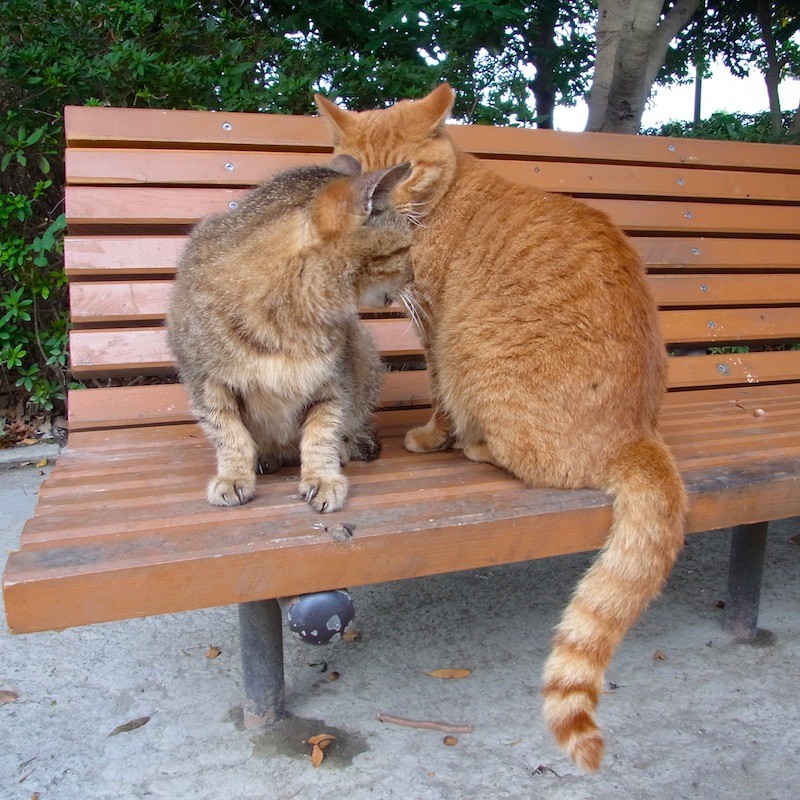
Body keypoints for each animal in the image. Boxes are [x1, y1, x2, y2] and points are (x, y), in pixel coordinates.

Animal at [318, 86, 688, 768]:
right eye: (356, 170)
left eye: (404, 171)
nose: (375, 202)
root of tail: (639, 435)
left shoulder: (436, 329)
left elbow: (439, 397)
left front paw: (430, 438)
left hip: (482, 367)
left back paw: (475, 447)